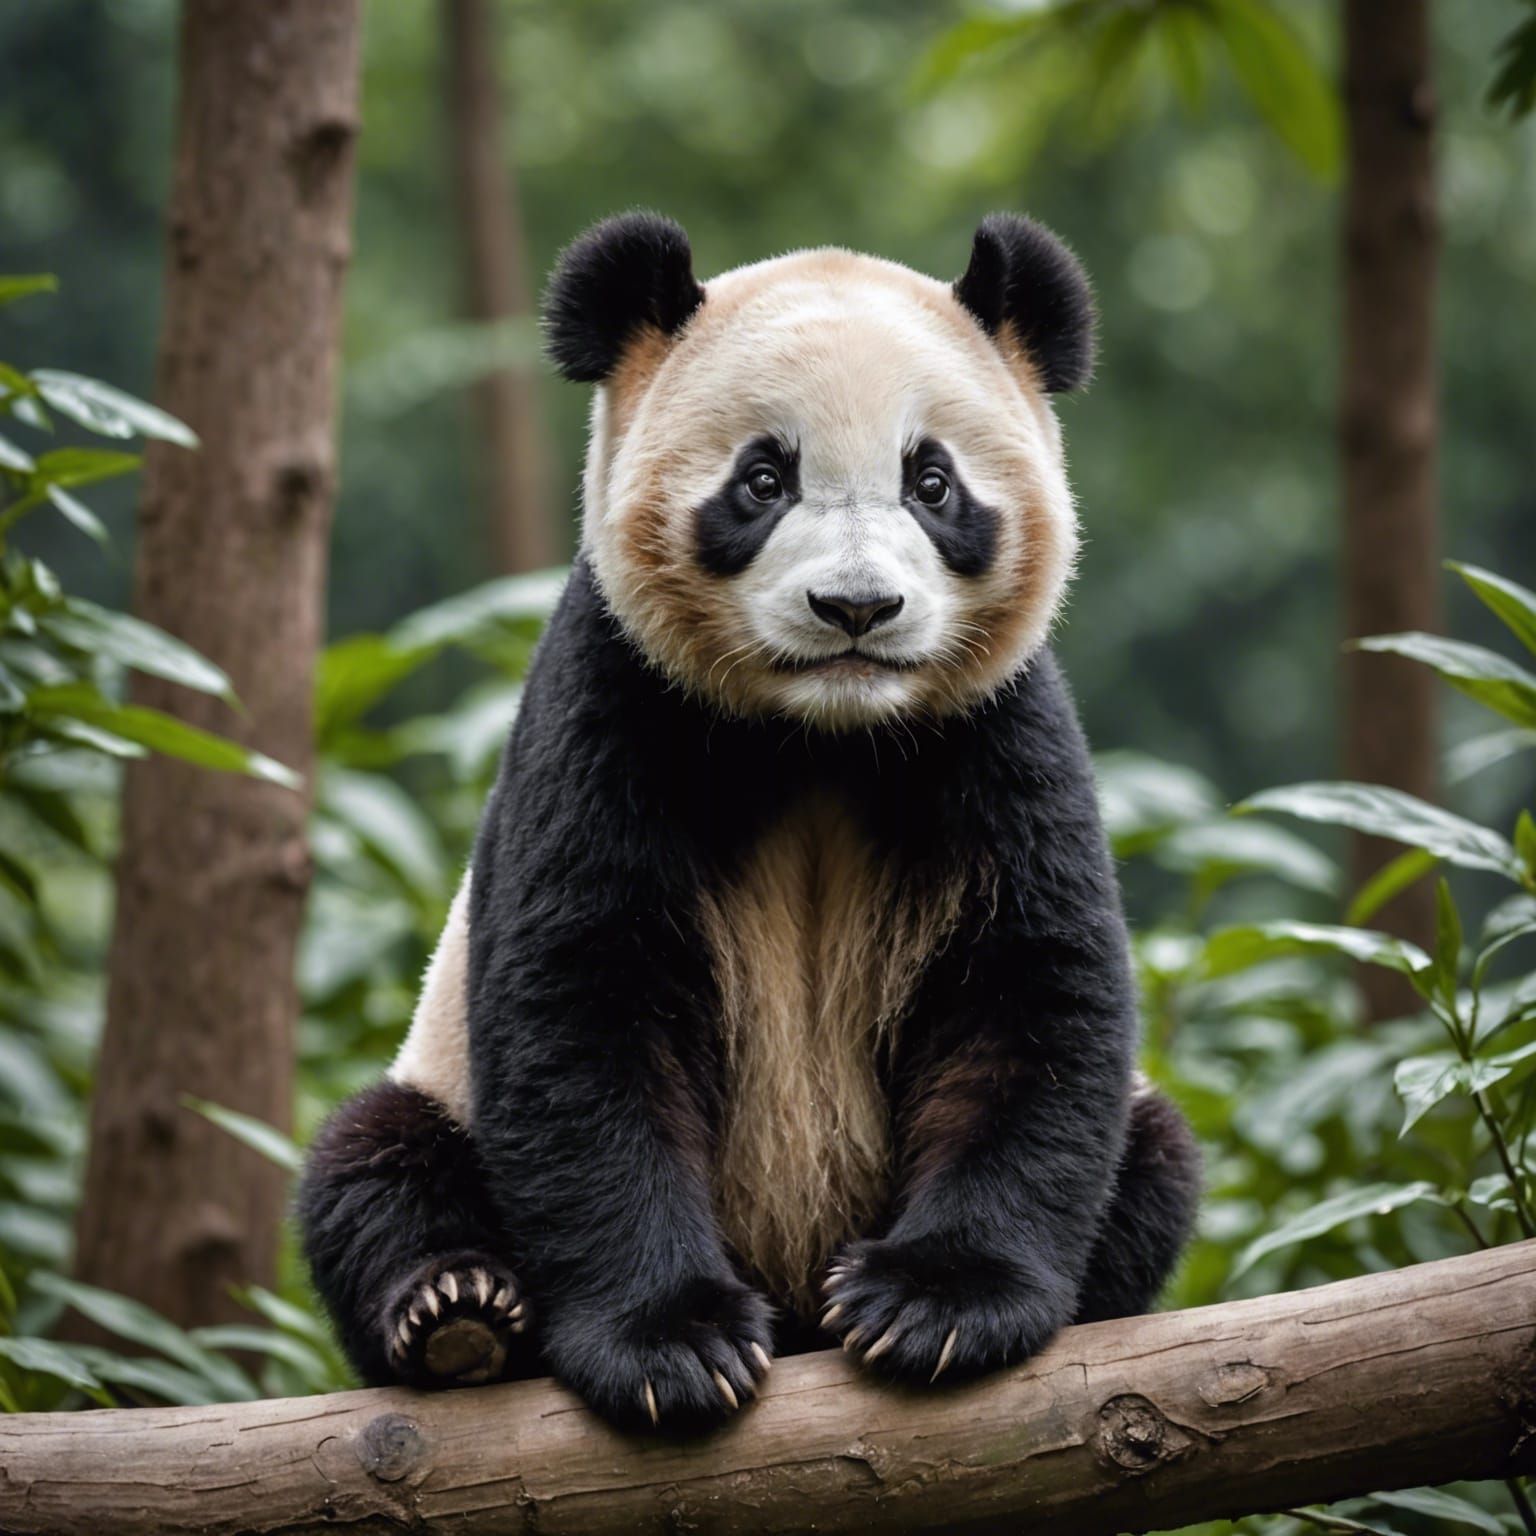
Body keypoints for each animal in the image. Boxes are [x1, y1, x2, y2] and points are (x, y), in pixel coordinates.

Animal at [297, 211, 1200, 1433]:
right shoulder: (613, 704)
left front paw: (936, 1303)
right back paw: (457, 1311)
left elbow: (1027, 996)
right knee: (369, 1160)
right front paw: (672, 1342)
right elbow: (581, 1006)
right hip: (438, 1082)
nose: (857, 608)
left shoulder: (998, 733)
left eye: (932, 483)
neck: (822, 734)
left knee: (1153, 1156)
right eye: (764, 479)